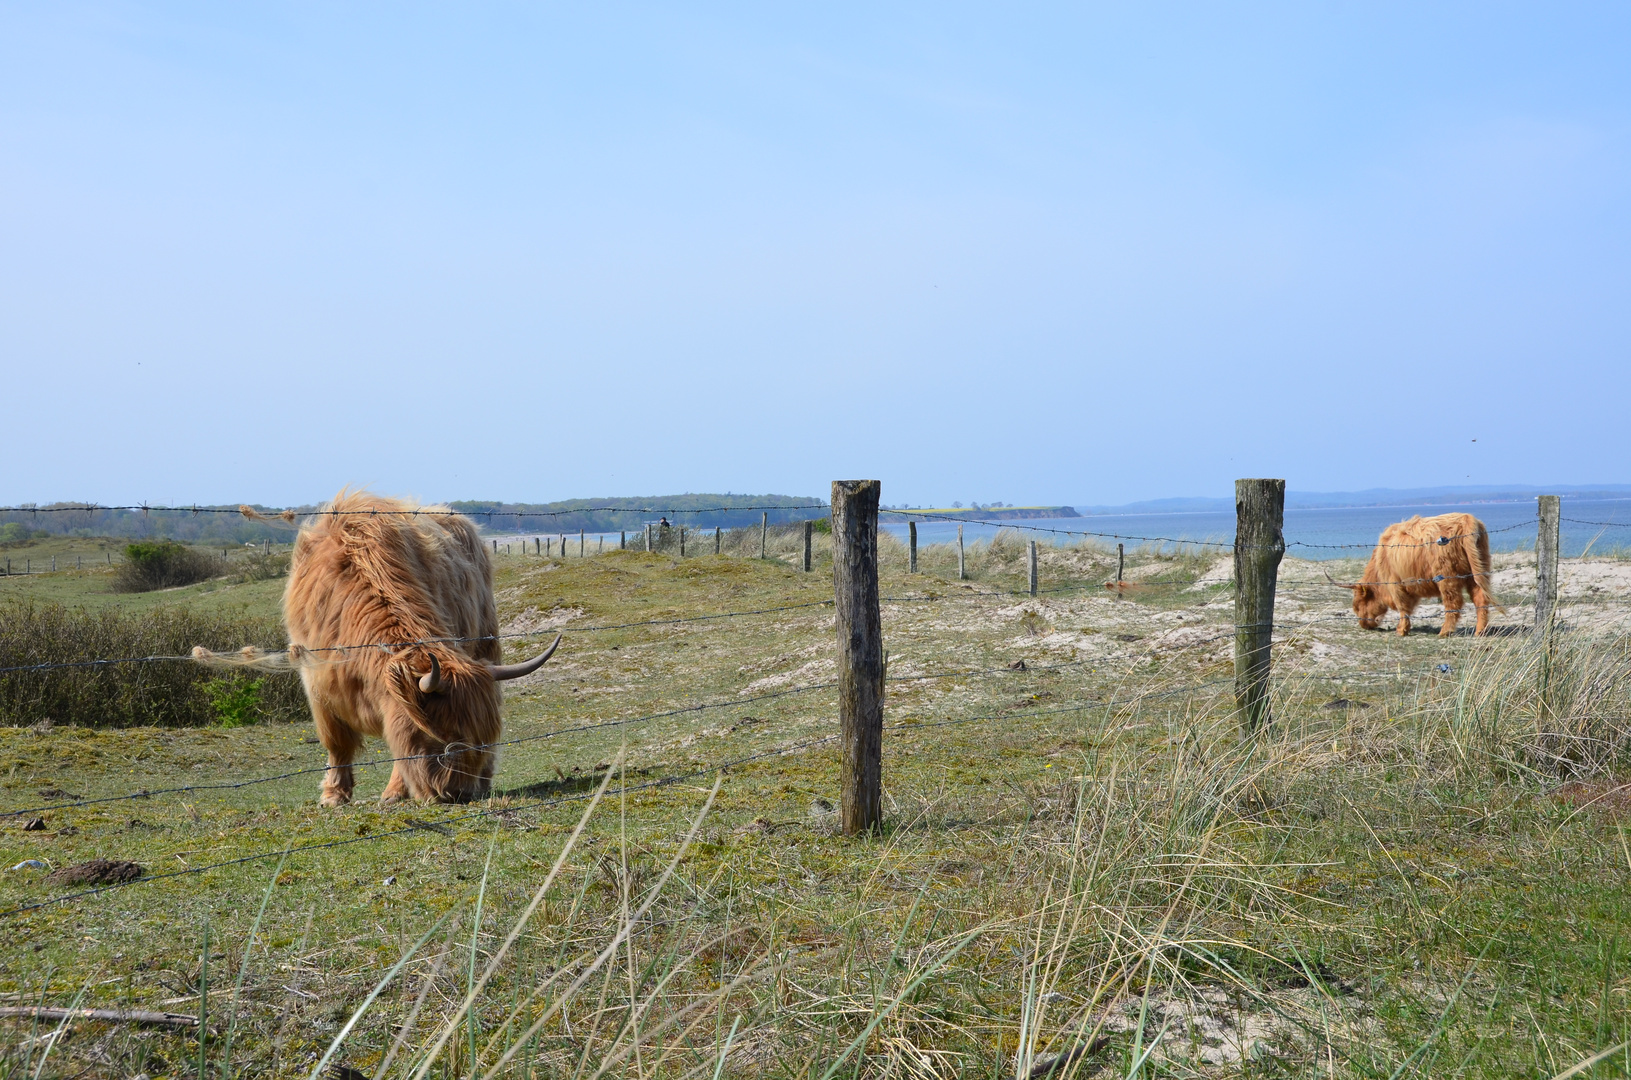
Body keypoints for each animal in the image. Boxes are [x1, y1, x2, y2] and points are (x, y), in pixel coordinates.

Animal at [280, 495, 561, 809]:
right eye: (447, 737)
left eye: (476, 738)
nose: (459, 793)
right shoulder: (317, 682)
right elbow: (337, 743)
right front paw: (333, 795)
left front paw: (394, 792)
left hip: (487, 639)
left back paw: (483, 781)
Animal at [1324, 515, 1500, 639]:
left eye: (1357, 605)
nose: (1363, 625)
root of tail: (1466, 519)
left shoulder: (1395, 583)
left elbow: (1403, 607)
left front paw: (1401, 630)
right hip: (1478, 571)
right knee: (1480, 599)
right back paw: (1480, 631)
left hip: (1447, 577)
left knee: (1453, 602)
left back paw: (1445, 631)